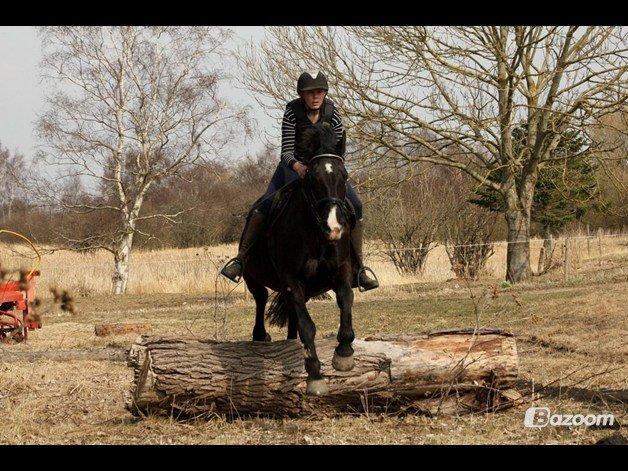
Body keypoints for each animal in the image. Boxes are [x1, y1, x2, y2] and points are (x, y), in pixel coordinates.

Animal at [242, 123, 358, 396]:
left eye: (344, 175)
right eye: (313, 178)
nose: (334, 229)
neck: (315, 234)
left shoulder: (341, 269)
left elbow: (346, 299)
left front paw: (344, 353)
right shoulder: (291, 280)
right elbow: (308, 326)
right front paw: (315, 375)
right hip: (253, 276)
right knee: (261, 298)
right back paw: (260, 335)